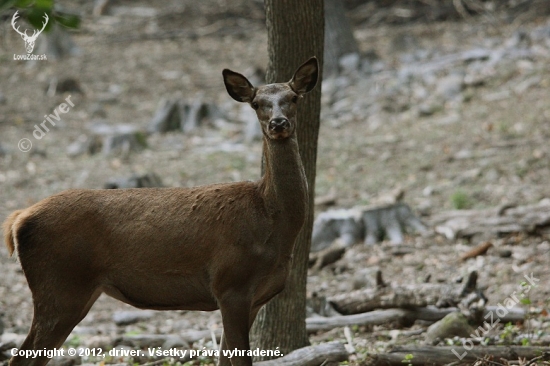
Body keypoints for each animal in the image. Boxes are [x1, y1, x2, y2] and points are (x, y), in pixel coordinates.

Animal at [3, 57, 320, 366]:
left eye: (293, 97)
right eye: (256, 103)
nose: (278, 123)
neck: (271, 223)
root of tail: (18, 219)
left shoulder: (251, 298)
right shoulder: (230, 285)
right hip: (60, 286)